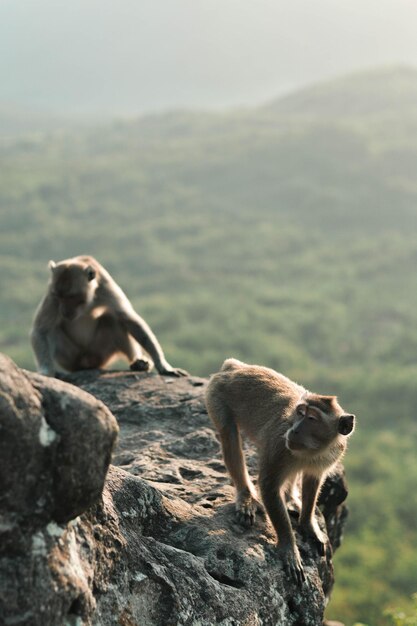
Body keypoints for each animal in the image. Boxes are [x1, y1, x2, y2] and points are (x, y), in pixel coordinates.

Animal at [31, 254, 188, 376]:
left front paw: (163, 365)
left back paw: (138, 363)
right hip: (71, 360)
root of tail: (88, 363)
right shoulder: (51, 295)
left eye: (72, 297)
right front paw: (46, 371)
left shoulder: (106, 287)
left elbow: (129, 320)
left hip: (101, 355)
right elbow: (41, 330)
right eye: (59, 297)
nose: (64, 311)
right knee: (54, 330)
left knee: (111, 319)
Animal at [205, 358, 354, 584]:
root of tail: (235, 366)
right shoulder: (279, 445)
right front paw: (289, 549)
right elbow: (269, 486)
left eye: (312, 419)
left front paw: (308, 524)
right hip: (216, 394)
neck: (314, 450)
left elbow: (313, 481)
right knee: (229, 435)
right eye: (300, 413)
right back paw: (246, 496)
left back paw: (291, 499)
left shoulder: (331, 454)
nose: (294, 430)